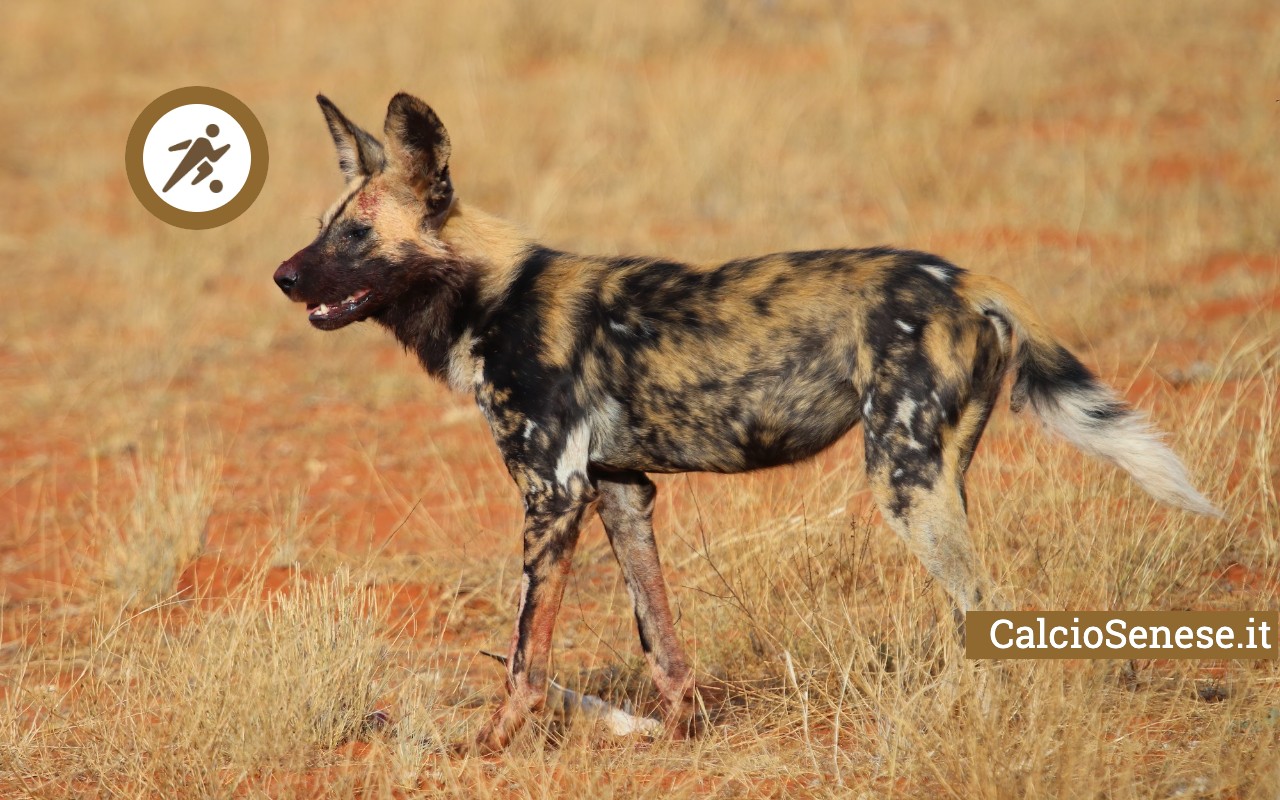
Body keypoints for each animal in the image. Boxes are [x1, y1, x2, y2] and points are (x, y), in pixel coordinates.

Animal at [272, 95, 1218, 752]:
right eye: (323, 227)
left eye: (356, 235)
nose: (282, 276)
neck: (489, 296)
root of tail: (965, 277)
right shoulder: (619, 491)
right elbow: (661, 639)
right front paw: (683, 733)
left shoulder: (554, 494)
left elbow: (523, 660)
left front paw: (491, 745)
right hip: (938, 474)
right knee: (977, 610)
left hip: (902, 480)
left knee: (983, 603)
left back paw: (960, 714)